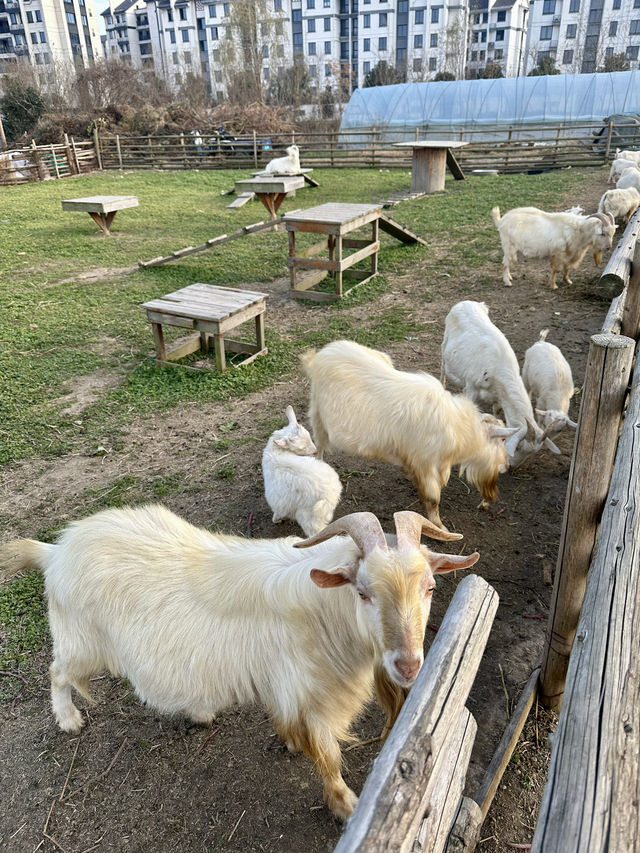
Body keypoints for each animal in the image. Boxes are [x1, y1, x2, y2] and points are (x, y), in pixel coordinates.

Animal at [0, 506, 478, 820]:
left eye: (431, 588)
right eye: (363, 592)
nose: (409, 665)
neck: (326, 611)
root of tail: (54, 550)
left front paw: (289, 742)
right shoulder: (309, 695)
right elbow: (327, 756)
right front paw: (346, 805)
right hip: (81, 640)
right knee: (57, 672)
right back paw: (68, 719)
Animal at [260, 404, 342, 532]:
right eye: (301, 448)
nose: (315, 452)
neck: (277, 452)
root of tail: (331, 495)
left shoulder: (278, 501)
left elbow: (278, 511)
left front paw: (276, 520)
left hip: (309, 517)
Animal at [300, 338, 516, 524]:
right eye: (502, 440)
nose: (506, 466)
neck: (459, 426)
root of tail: (320, 355)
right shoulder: (427, 464)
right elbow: (433, 498)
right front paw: (439, 526)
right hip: (318, 416)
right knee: (319, 448)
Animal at [440, 302, 560, 466]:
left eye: (532, 454)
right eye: (518, 446)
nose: (512, 465)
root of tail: (466, 302)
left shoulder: (498, 396)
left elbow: (496, 410)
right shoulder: (471, 388)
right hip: (444, 345)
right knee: (442, 367)